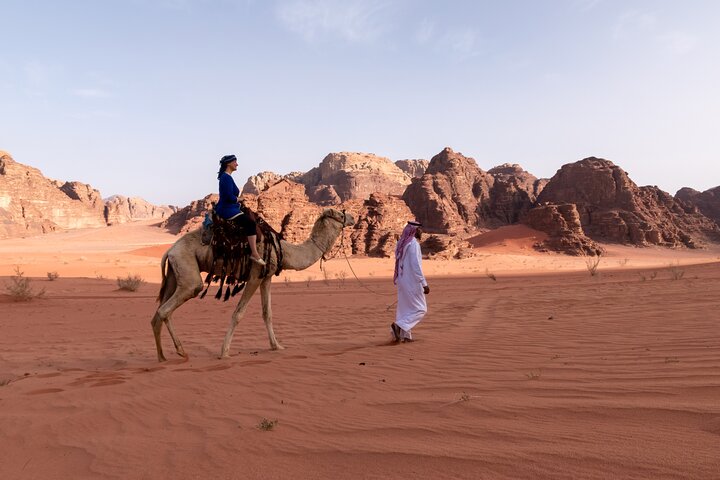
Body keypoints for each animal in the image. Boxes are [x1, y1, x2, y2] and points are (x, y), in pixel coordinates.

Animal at [150, 208, 355, 362]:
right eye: (339, 214)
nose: (352, 217)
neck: (285, 250)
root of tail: (170, 250)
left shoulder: (267, 277)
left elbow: (267, 313)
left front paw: (277, 346)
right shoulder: (255, 275)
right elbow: (238, 314)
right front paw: (224, 352)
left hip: (174, 274)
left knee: (160, 312)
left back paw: (163, 356)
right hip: (188, 273)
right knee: (168, 307)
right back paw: (178, 352)